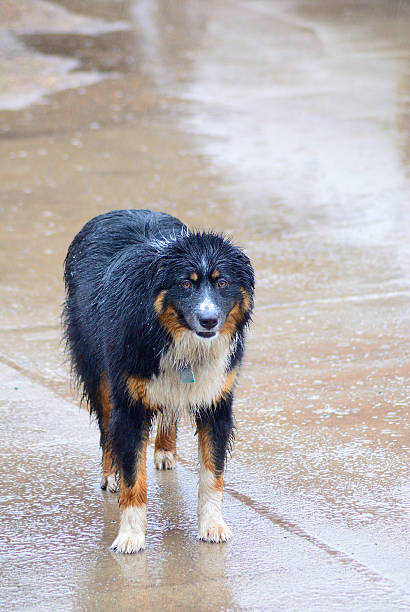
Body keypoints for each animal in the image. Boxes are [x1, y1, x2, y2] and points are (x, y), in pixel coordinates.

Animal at [62, 210, 253, 556]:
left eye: (222, 282)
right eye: (185, 283)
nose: (209, 321)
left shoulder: (217, 399)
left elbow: (212, 472)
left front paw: (212, 526)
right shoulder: (129, 401)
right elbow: (133, 477)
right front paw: (130, 537)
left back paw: (165, 450)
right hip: (98, 369)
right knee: (107, 425)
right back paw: (111, 473)